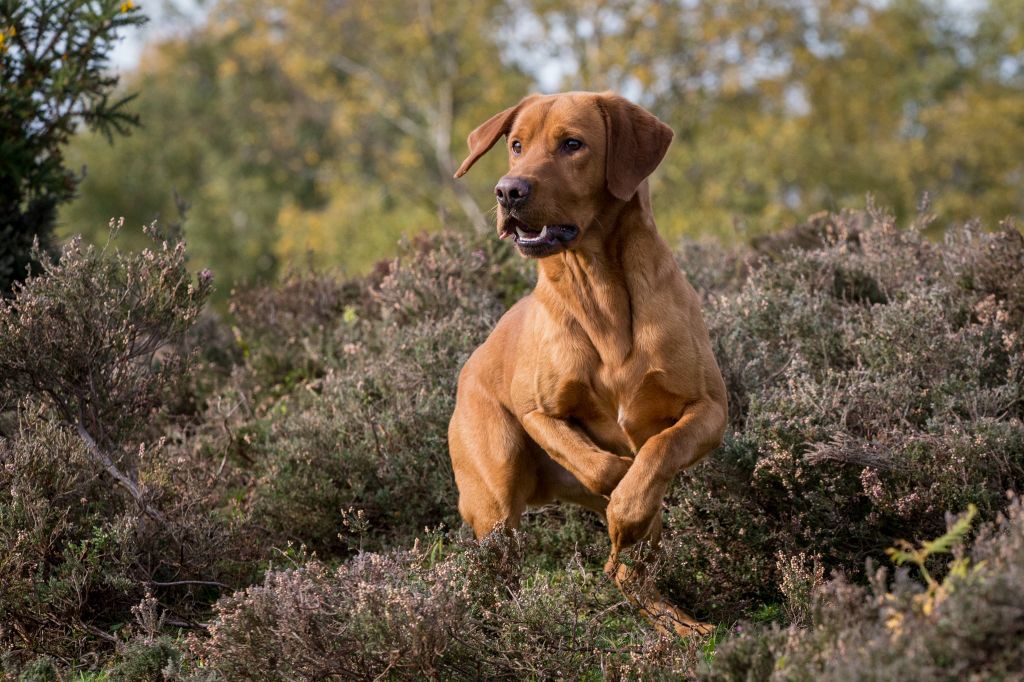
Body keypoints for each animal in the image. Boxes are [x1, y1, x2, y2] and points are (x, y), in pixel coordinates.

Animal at [448, 89, 729, 630]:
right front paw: (622, 488)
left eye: (572, 144)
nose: (507, 191)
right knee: (498, 570)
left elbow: (660, 448)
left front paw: (631, 501)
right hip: (496, 496)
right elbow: (602, 467)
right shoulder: (538, 412)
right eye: (516, 145)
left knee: (627, 573)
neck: (600, 293)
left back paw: (679, 625)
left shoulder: (710, 410)